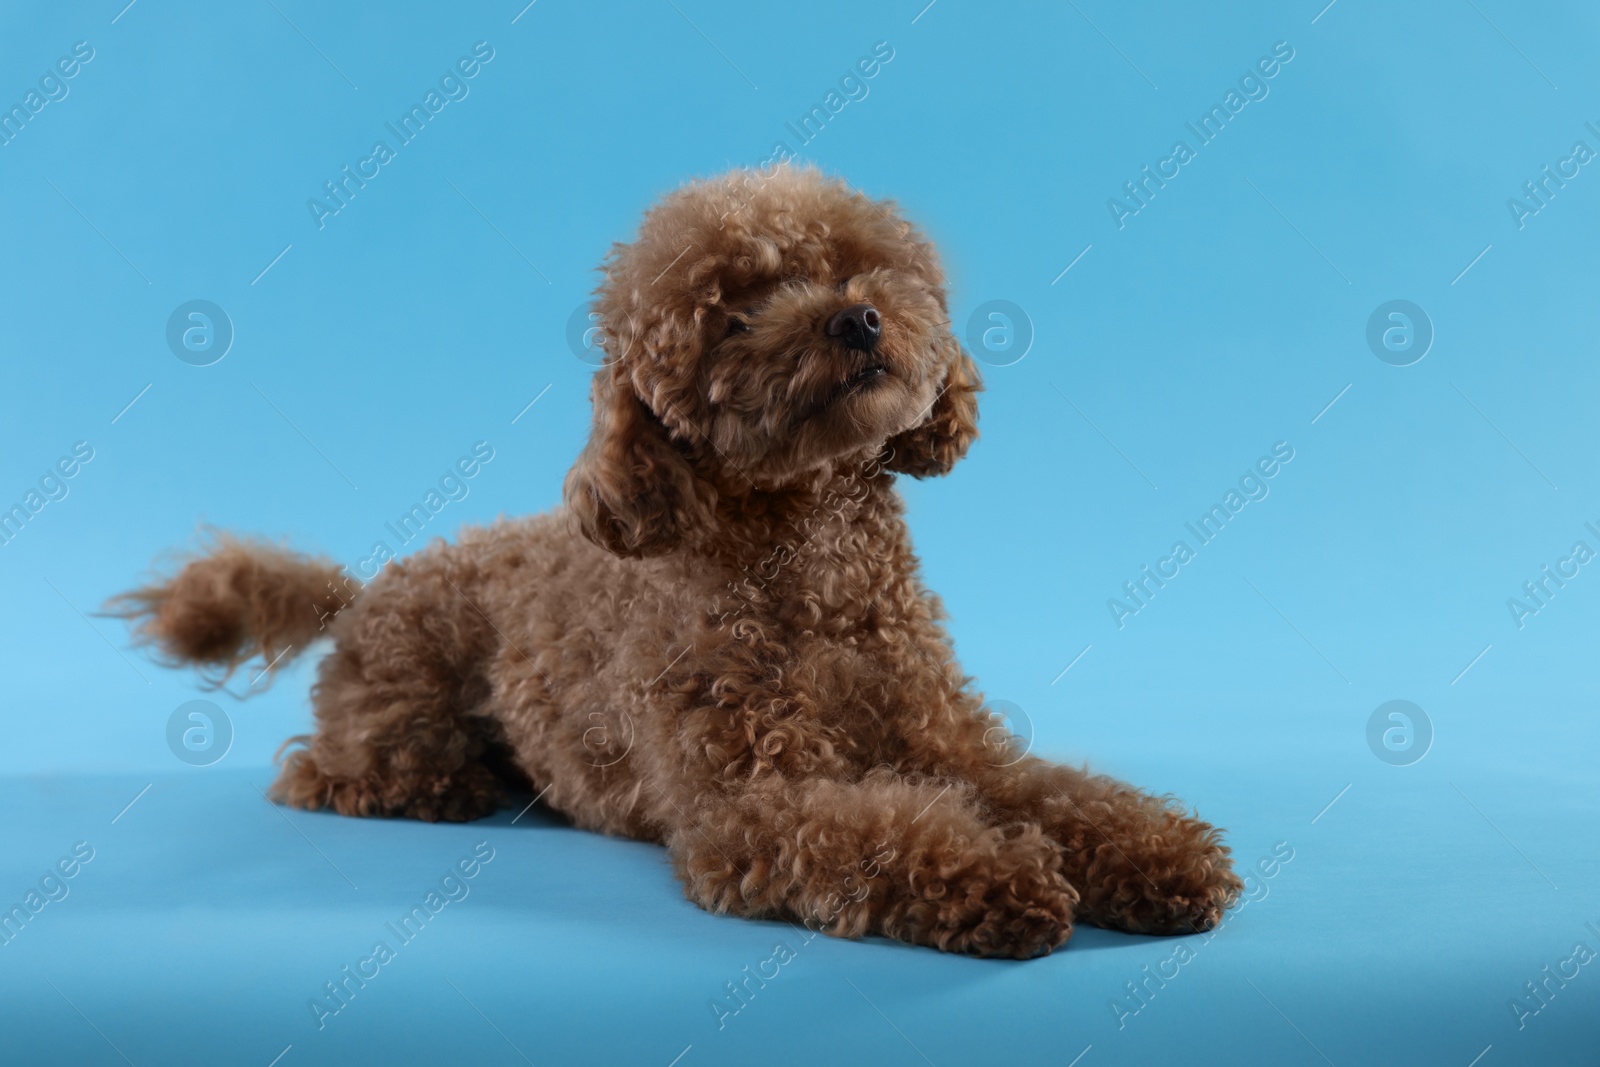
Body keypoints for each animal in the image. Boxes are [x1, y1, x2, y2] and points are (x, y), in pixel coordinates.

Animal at [112, 167, 1241, 959]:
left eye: (857, 265)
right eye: (734, 313)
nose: (856, 318)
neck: (817, 569)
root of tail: (367, 587)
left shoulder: (957, 747)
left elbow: (1062, 792)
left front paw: (1161, 853)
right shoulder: (749, 800)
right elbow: (881, 830)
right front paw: (1003, 882)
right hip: (400, 716)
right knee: (321, 774)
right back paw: (438, 785)